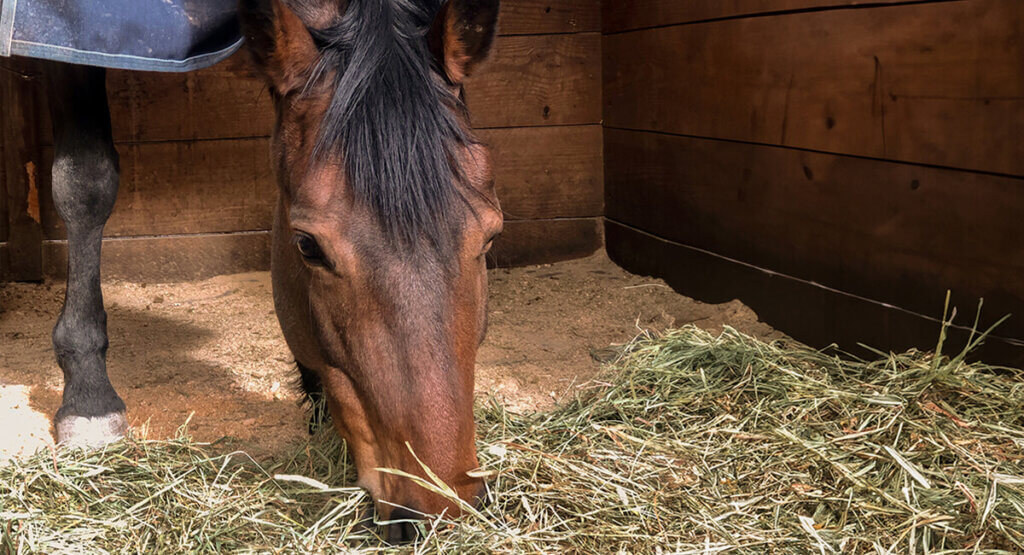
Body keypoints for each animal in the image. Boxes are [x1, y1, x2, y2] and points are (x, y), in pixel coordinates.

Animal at [2, 0, 501, 544]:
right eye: (307, 246)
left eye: (491, 236)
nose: (441, 506)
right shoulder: (73, 32)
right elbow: (86, 180)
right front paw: (88, 397)